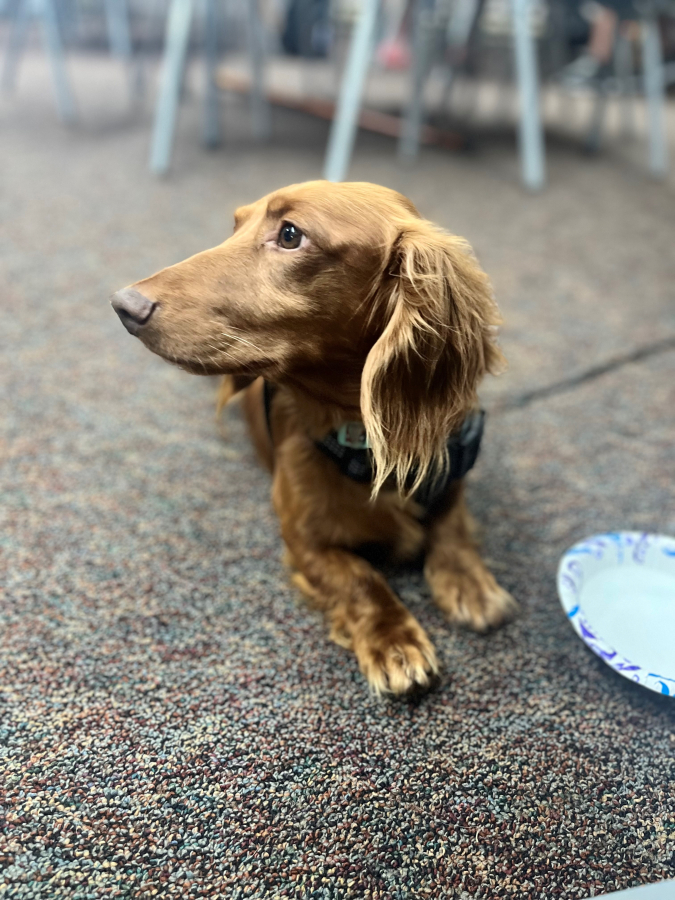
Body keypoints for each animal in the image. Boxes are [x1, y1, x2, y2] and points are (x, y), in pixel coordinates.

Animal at [112, 178, 516, 696]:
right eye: (236, 225)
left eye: (290, 234)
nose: (124, 305)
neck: (364, 447)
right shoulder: (302, 539)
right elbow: (360, 578)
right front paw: (395, 642)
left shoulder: (453, 466)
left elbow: (452, 526)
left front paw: (470, 582)